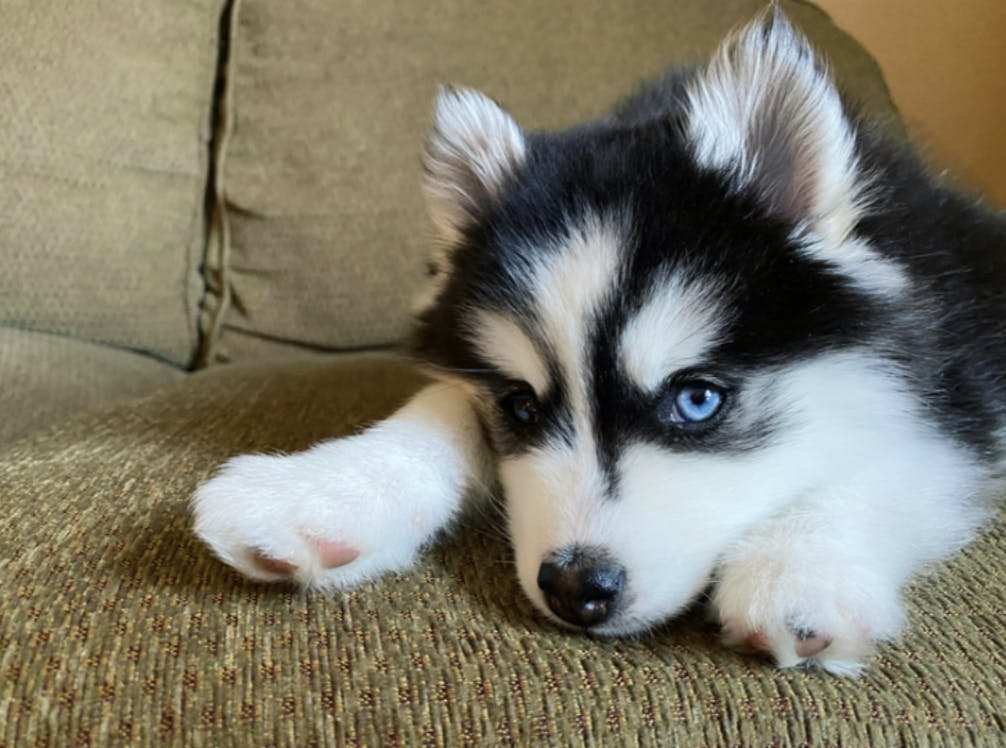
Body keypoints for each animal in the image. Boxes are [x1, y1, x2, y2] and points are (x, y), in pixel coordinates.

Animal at [192, 5, 1001, 675]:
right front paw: (327, 491)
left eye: (697, 400)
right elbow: (441, 405)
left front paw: (800, 567)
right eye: (518, 406)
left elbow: (892, 463)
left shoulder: (963, 392)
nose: (576, 588)